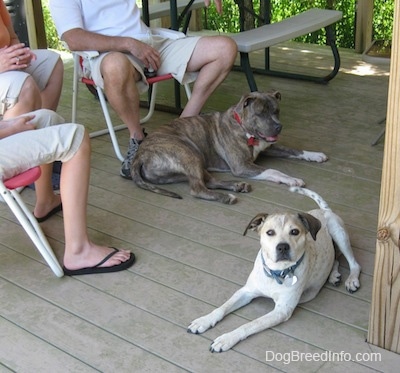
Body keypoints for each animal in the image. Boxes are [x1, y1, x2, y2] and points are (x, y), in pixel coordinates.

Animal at [131, 92, 328, 205]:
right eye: (260, 113)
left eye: (276, 111)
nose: (279, 127)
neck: (246, 130)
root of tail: (140, 154)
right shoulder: (242, 166)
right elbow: (273, 171)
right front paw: (291, 179)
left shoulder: (268, 147)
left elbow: (293, 150)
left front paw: (314, 155)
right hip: (188, 152)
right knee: (197, 188)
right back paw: (227, 197)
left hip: (191, 162)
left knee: (209, 181)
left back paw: (237, 186)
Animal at [189, 186, 360, 352]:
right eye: (270, 232)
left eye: (295, 232)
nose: (282, 246)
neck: (276, 273)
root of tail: (325, 210)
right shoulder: (246, 291)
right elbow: (222, 308)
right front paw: (204, 320)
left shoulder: (281, 311)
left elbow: (250, 324)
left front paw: (227, 338)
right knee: (335, 258)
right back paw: (333, 275)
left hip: (339, 234)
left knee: (354, 263)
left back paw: (351, 280)